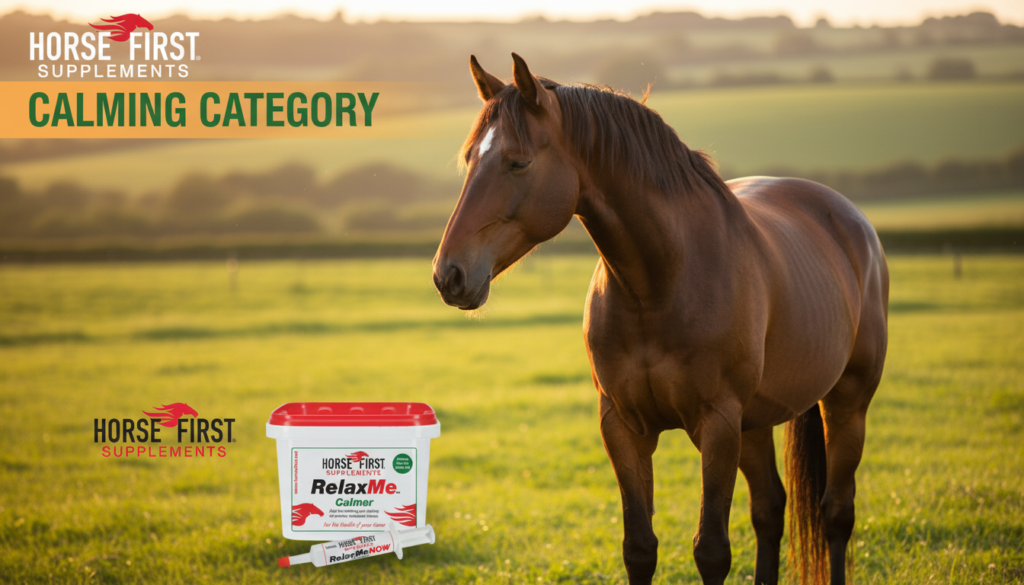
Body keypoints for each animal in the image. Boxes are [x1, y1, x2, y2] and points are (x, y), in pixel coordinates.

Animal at [432, 53, 888, 585]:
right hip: (754, 422)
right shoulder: (623, 426)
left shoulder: (717, 424)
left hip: (846, 403)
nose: (448, 275)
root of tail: (847, 216)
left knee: (836, 513)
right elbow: (639, 548)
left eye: (518, 162)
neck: (658, 285)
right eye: (470, 160)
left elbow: (711, 551)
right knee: (769, 509)